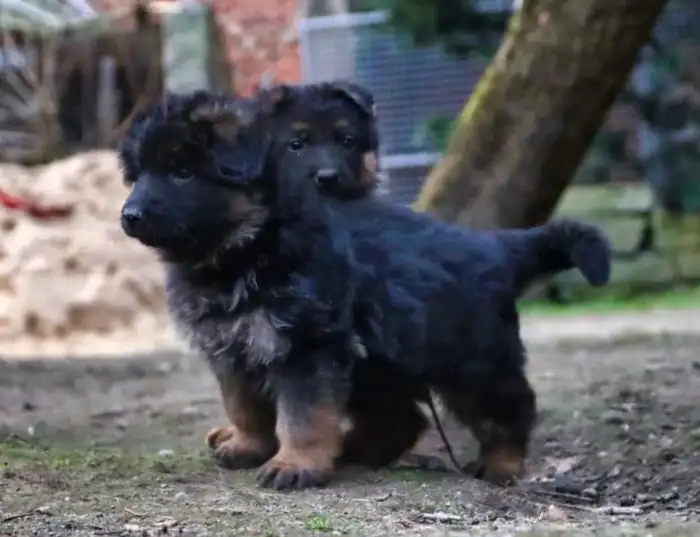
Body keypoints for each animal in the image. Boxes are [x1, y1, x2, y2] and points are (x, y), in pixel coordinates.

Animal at [118, 91, 365, 491]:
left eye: (183, 172)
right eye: (138, 175)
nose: (129, 216)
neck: (243, 251)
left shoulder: (304, 343)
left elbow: (304, 414)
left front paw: (295, 463)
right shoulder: (230, 346)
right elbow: (243, 405)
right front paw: (248, 445)